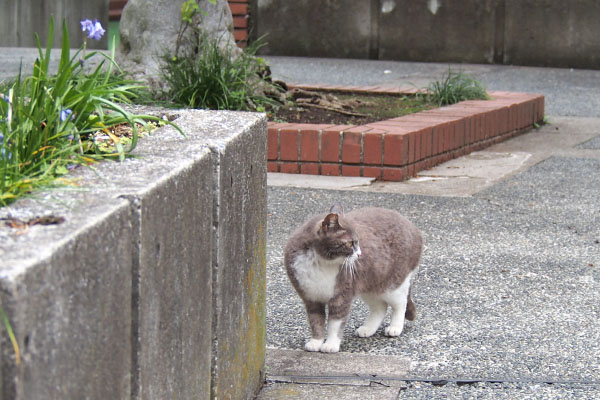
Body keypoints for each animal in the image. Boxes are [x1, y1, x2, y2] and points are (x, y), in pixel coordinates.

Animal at [284, 203, 422, 354]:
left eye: (358, 242)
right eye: (350, 243)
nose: (360, 254)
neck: (320, 263)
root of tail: (413, 227)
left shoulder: (341, 295)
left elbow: (335, 323)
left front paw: (331, 344)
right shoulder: (311, 298)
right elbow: (316, 322)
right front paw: (316, 342)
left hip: (392, 284)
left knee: (400, 303)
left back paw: (395, 328)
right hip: (370, 285)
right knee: (380, 307)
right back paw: (367, 329)